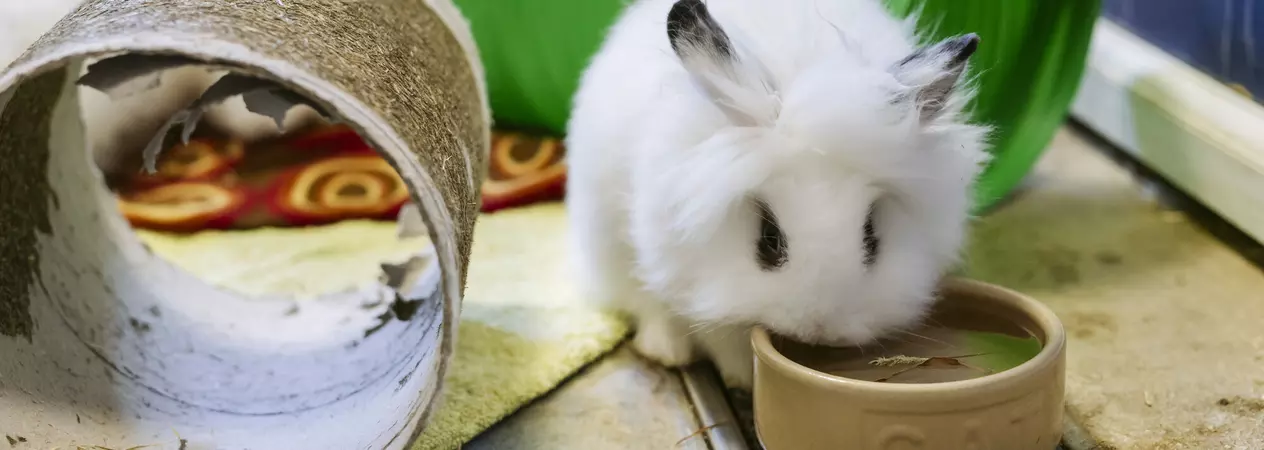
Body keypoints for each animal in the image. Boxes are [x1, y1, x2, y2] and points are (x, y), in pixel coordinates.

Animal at [565, 0, 990, 389]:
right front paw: (742, 379)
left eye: (872, 237)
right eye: (768, 239)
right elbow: (720, 335)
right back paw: (667, 351)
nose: (819, 328)